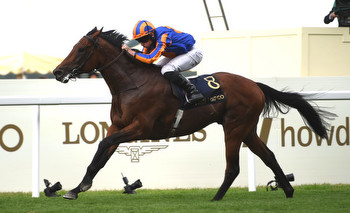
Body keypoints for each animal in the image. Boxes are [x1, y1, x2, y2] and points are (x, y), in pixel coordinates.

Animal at [52, 27, 334, 201]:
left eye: (80, 49)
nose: (57, 71)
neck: (132, 84)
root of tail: (254, 84)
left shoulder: (141, 127)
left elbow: (104, 144)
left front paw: (79, 187)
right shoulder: (117, 127)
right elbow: (99, 156)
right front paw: (76, 189)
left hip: (234, 128)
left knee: (233, 167)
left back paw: (216, 198)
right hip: (246, 129)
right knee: (268, 156)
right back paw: (288, 191)